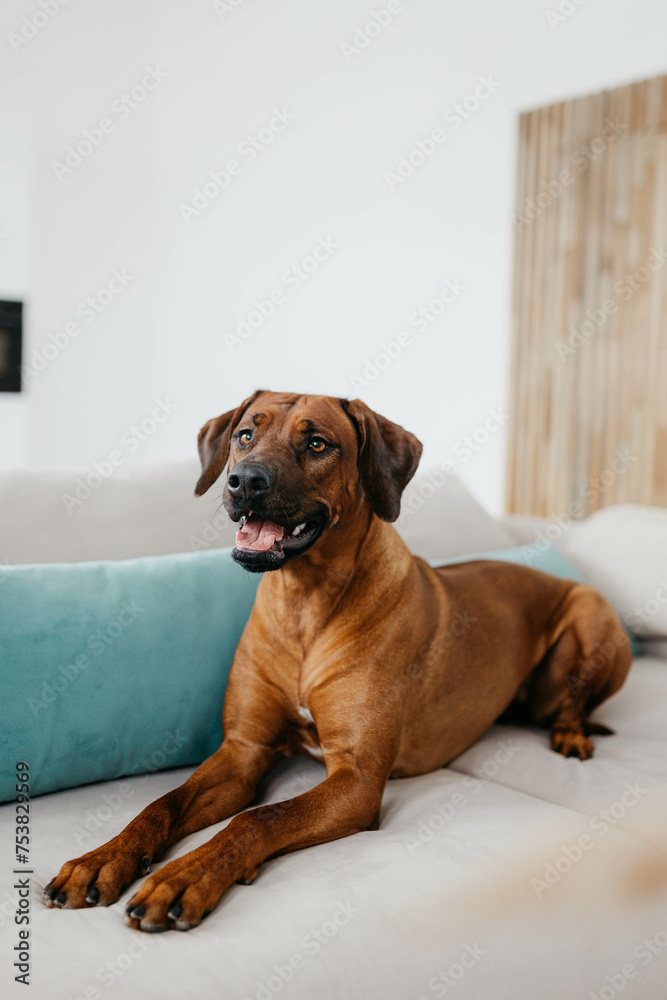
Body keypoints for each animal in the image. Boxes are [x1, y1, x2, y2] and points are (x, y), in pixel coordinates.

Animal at [44, 388, 636, 928]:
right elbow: (161, 804)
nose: (245, 481)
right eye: (245, 435)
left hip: (592, 612)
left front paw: (185, 875)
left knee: (575, 701)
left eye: (317, 444)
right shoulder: (243, 750)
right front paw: (102, 860)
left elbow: (259, 818)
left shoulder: (356, 778)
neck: (304, 604)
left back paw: (571, 735)